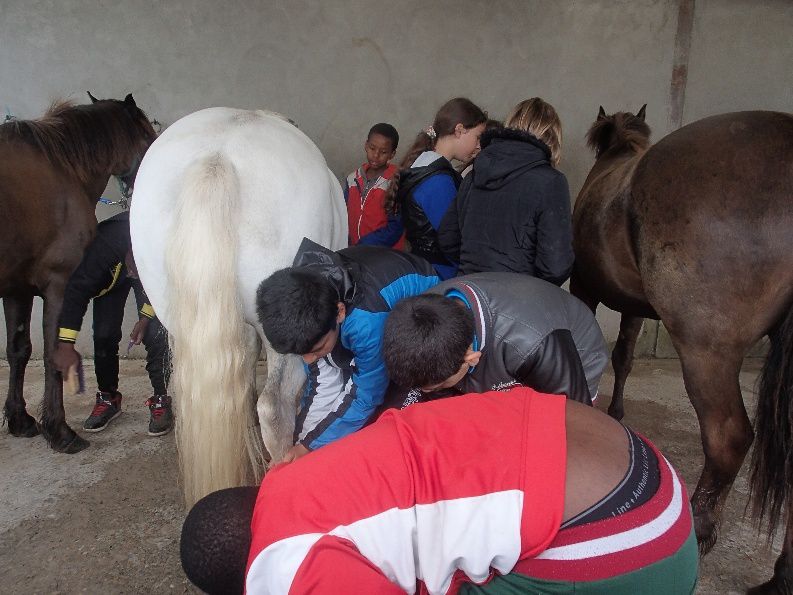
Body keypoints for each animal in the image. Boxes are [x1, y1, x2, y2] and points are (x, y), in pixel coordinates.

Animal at [0, 94, 158, 452]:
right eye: (148, 136)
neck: (64, 168)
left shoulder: (17, 289)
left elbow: (19, 350)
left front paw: (21, 420)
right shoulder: (59, 284)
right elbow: (54, 354)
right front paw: (60, 431)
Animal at [568, 106, 792, 592]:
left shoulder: (587, 290)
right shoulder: (631, 306)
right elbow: (624, 358)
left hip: (706, 348)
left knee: (728, 437)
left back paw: (702, 528)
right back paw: (782, 572)